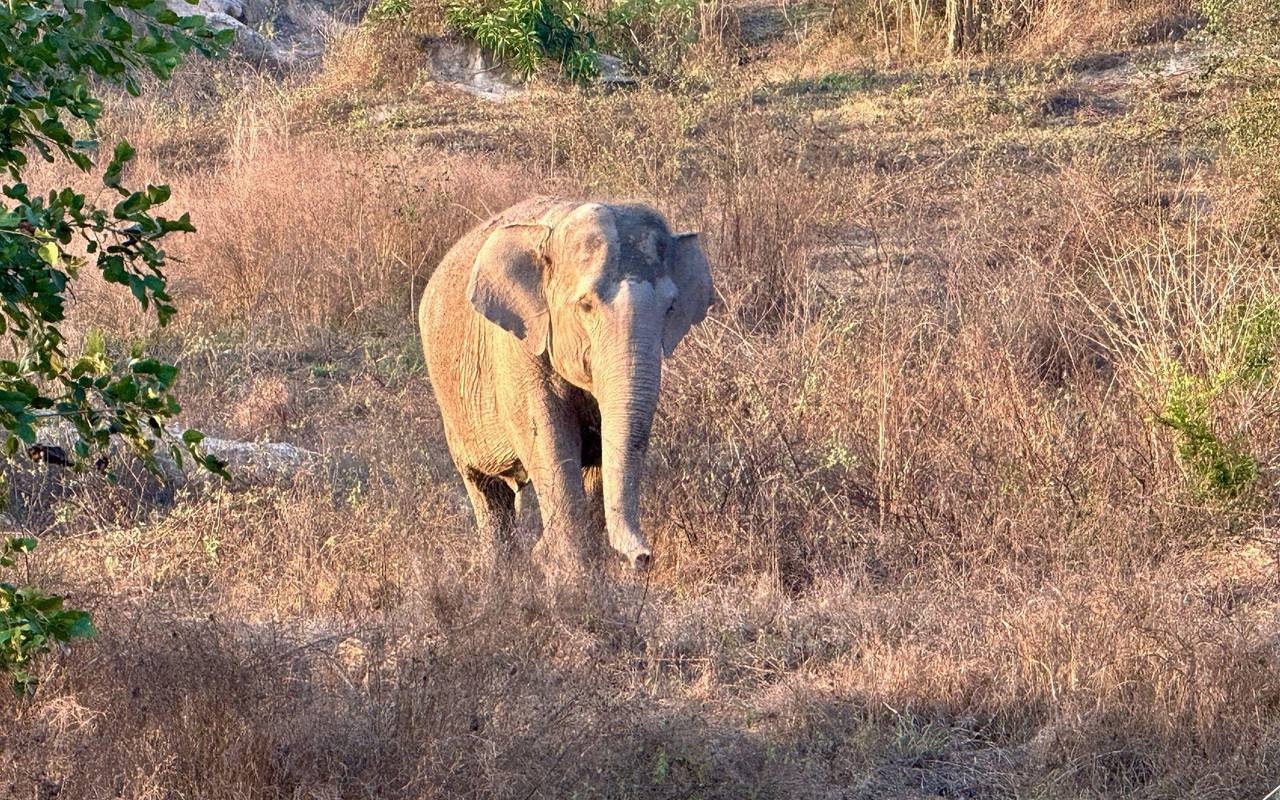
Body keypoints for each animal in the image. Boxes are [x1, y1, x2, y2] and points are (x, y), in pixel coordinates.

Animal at [418, 198, 714, 571]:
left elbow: (602, 455)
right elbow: (550, 440)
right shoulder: (518, 352)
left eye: (670, 307)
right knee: (486, 491)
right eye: (585, 305)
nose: (643, 558)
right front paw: (569, 574)